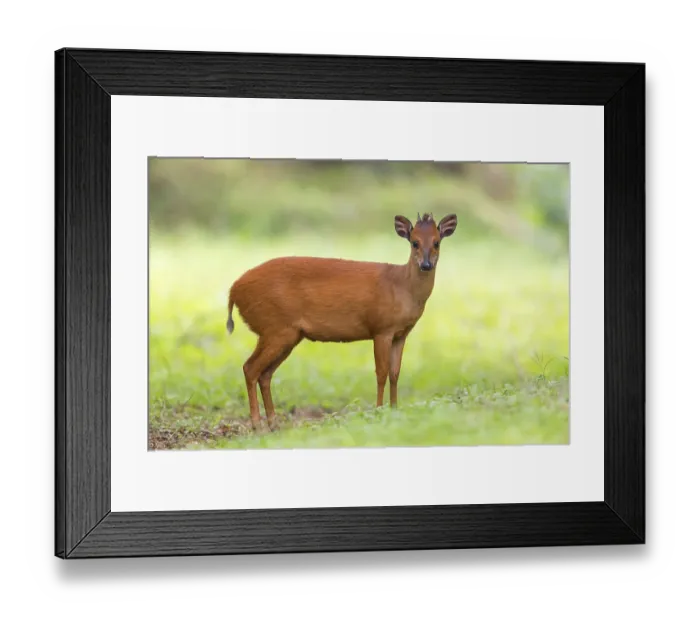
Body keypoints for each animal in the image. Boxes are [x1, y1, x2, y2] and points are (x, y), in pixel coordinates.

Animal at [226, 212, 458, 432]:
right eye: (414, 242)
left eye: (437, 242)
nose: (426, 264)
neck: (403, 287)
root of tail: (234, 290)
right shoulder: (381, 328)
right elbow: (381, 373)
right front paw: (379, 411)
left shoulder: (401, 333)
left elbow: (395, 373)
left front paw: (394, 410)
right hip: (274, 327)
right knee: (250, 368)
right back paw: (257, 426)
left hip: (287, 334)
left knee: (265, 374)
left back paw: (274, 424)